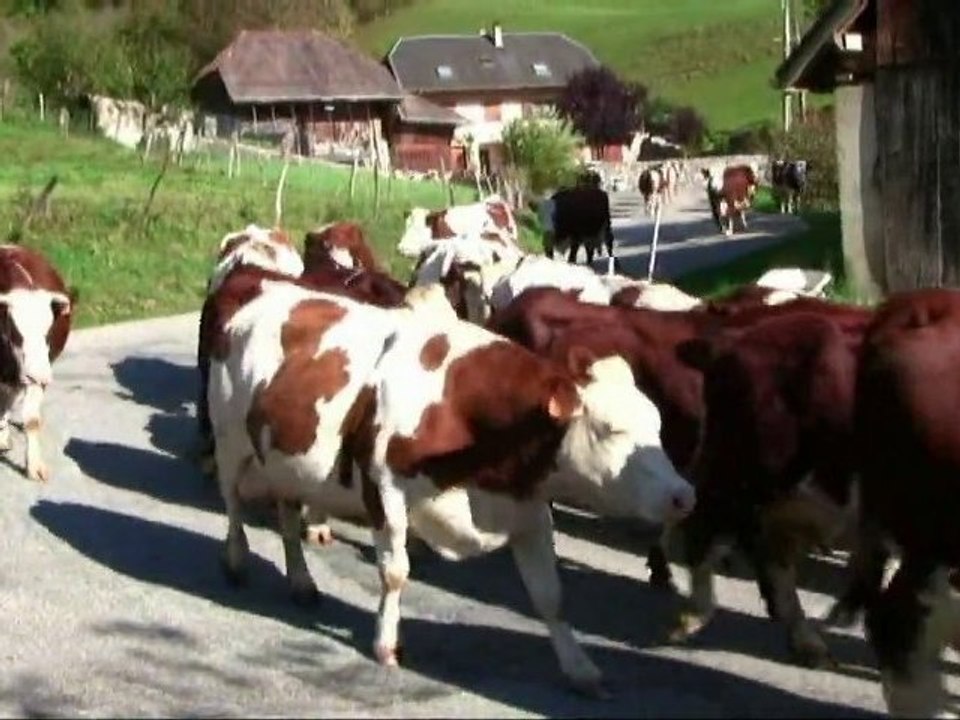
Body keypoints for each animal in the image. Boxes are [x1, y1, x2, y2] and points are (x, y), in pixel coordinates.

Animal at [207, 281, 695, 696]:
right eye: (611, 429)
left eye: (657, 424)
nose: (684, 495)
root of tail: (260, 292)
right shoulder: (385, 489)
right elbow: (395, 572)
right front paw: (386, 646)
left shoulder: (528, 510)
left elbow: (551, 596)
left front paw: (581, 669)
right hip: (230, 440)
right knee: (232, 503)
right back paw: (235, 562)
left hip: (285, 461)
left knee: (288, 519)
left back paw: (301, 583)